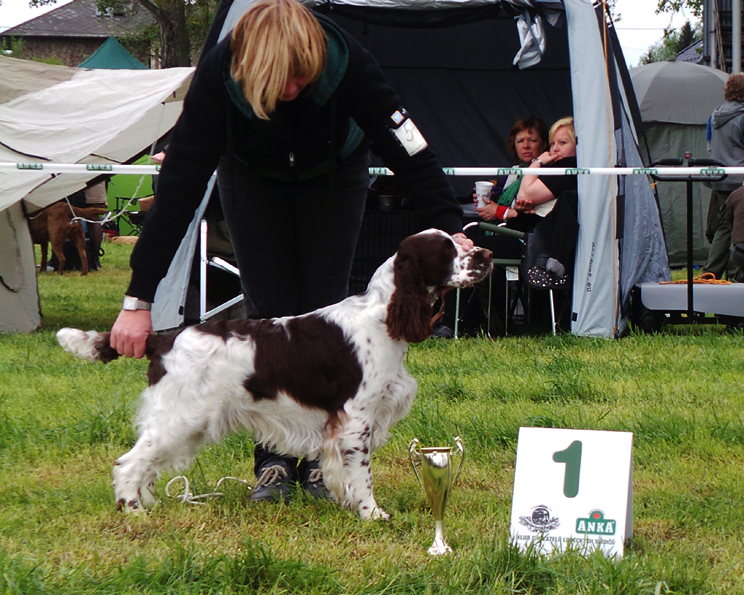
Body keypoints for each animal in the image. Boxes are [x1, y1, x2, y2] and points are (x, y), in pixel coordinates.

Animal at [55, 230, 492, 520]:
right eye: (447, 250)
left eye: (460, 243)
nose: (486, 253)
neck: (383, 315)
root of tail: (162, 338)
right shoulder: (357, 419)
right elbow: (362, 475)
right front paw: (373, 514)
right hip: (179, 417)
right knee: (128, 463)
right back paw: (135, 514)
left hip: (185, 422)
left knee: (146, 464)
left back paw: (147, 503)